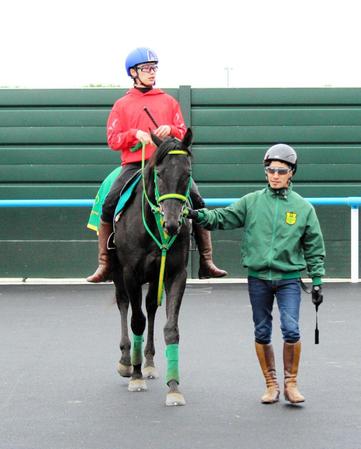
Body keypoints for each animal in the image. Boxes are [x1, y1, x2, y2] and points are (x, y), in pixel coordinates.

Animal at [112, 127, 193, 406]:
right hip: (118, 273)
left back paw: (147, 362)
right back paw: (127, 361)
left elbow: (171, 328)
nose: (172, 223)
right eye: (159, 173)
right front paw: (135, 377)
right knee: (124, 304)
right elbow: (137, 321)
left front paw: (174, 387)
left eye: (187, 173)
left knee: (150, 308)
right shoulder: (130, 274)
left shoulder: (176, 274)